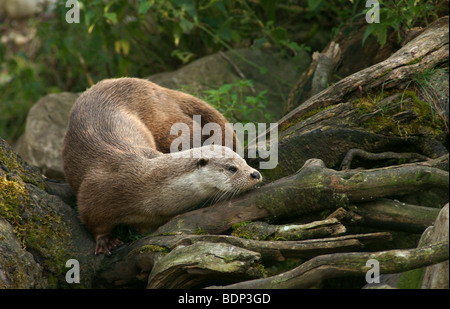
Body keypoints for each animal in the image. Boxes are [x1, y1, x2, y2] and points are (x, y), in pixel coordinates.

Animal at [61, 77, 262, 253]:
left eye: (244, 162)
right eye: (232, 168)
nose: (255, 174)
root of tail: (156, 87)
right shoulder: (93, 196)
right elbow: (94, 224)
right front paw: (106, 242)